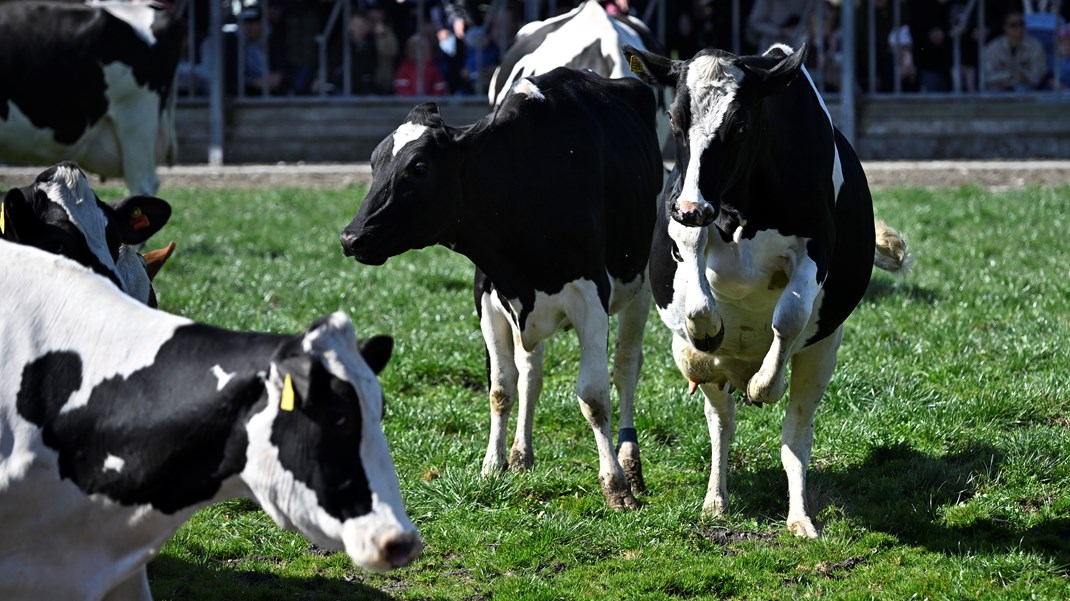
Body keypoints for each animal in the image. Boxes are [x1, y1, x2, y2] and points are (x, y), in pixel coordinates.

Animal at [338, 66, 663, 509]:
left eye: (419, 166)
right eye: (374, 162)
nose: (351, 237)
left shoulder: (591, 298)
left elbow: (594, 397)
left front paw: (616, 486)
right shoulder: (490, 299)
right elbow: (501, 388)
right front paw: (493, 466)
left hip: (639, 285)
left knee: (626, 368)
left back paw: (631, 465)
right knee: (531, 374)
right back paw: (522, 455)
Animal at [624, 43, 915, 532]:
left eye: (739, 125)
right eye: (675, 118)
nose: (691, 207)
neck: (743, 208)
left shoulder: (816, 246)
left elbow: (789, 317)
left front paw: (764, 385)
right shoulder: (681, 222)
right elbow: (696, 301)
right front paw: (700, 337)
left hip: (822, 352)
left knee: (795, 436)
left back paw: (800, 518)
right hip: (723, 380)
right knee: (721, 422)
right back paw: (715, 499)